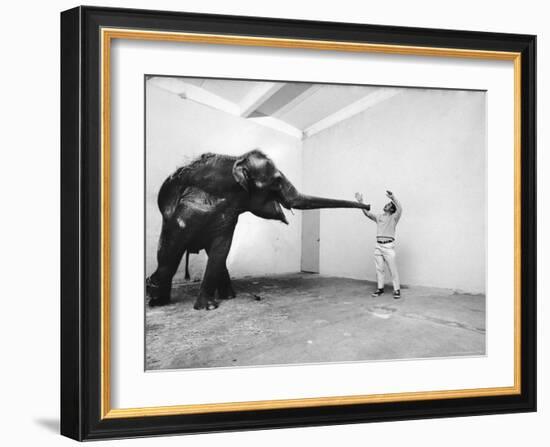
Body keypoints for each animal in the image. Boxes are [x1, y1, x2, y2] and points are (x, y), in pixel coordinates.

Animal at [147, 150, 370, 312]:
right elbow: (174, 251)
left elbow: (221, 249)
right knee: (168, 253)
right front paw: (207, 308)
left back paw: (228, 296)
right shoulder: (189, 210)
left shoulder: (228, 216)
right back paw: (155, 298)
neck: (237, 159)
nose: (367, 205)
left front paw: (210, 306)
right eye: (277, 180)